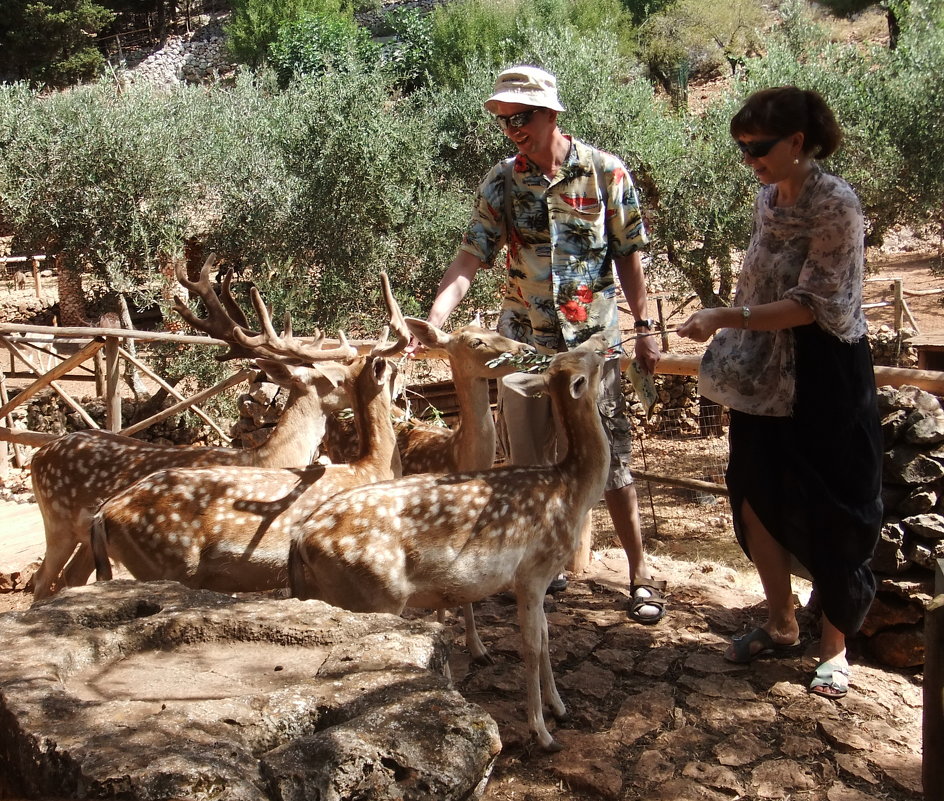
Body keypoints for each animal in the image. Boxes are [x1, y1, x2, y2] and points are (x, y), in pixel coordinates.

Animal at [29, 256, 362, 600]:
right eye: (336, 378)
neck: (269, 458)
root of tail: (38, 455)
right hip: (57, 522)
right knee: (42, 580)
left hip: (84, 538)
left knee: (70, 577)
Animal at [290, 332, 612, 752]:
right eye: (587, 356)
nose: (604, 340)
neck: (571, 490)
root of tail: (300, 538)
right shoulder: (532, 572)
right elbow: (532, 644)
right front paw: (542, 733)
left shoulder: (541, 578)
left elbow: (544, 636)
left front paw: (560, 708)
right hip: (374, 595)